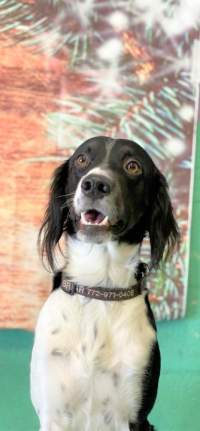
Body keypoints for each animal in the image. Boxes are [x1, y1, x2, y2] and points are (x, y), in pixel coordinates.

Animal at [30, 137, 180, 430]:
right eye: (81, 159)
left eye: (132, 165)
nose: (95, 184)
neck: (99, 287)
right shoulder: (53, 413)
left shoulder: (134, 414)